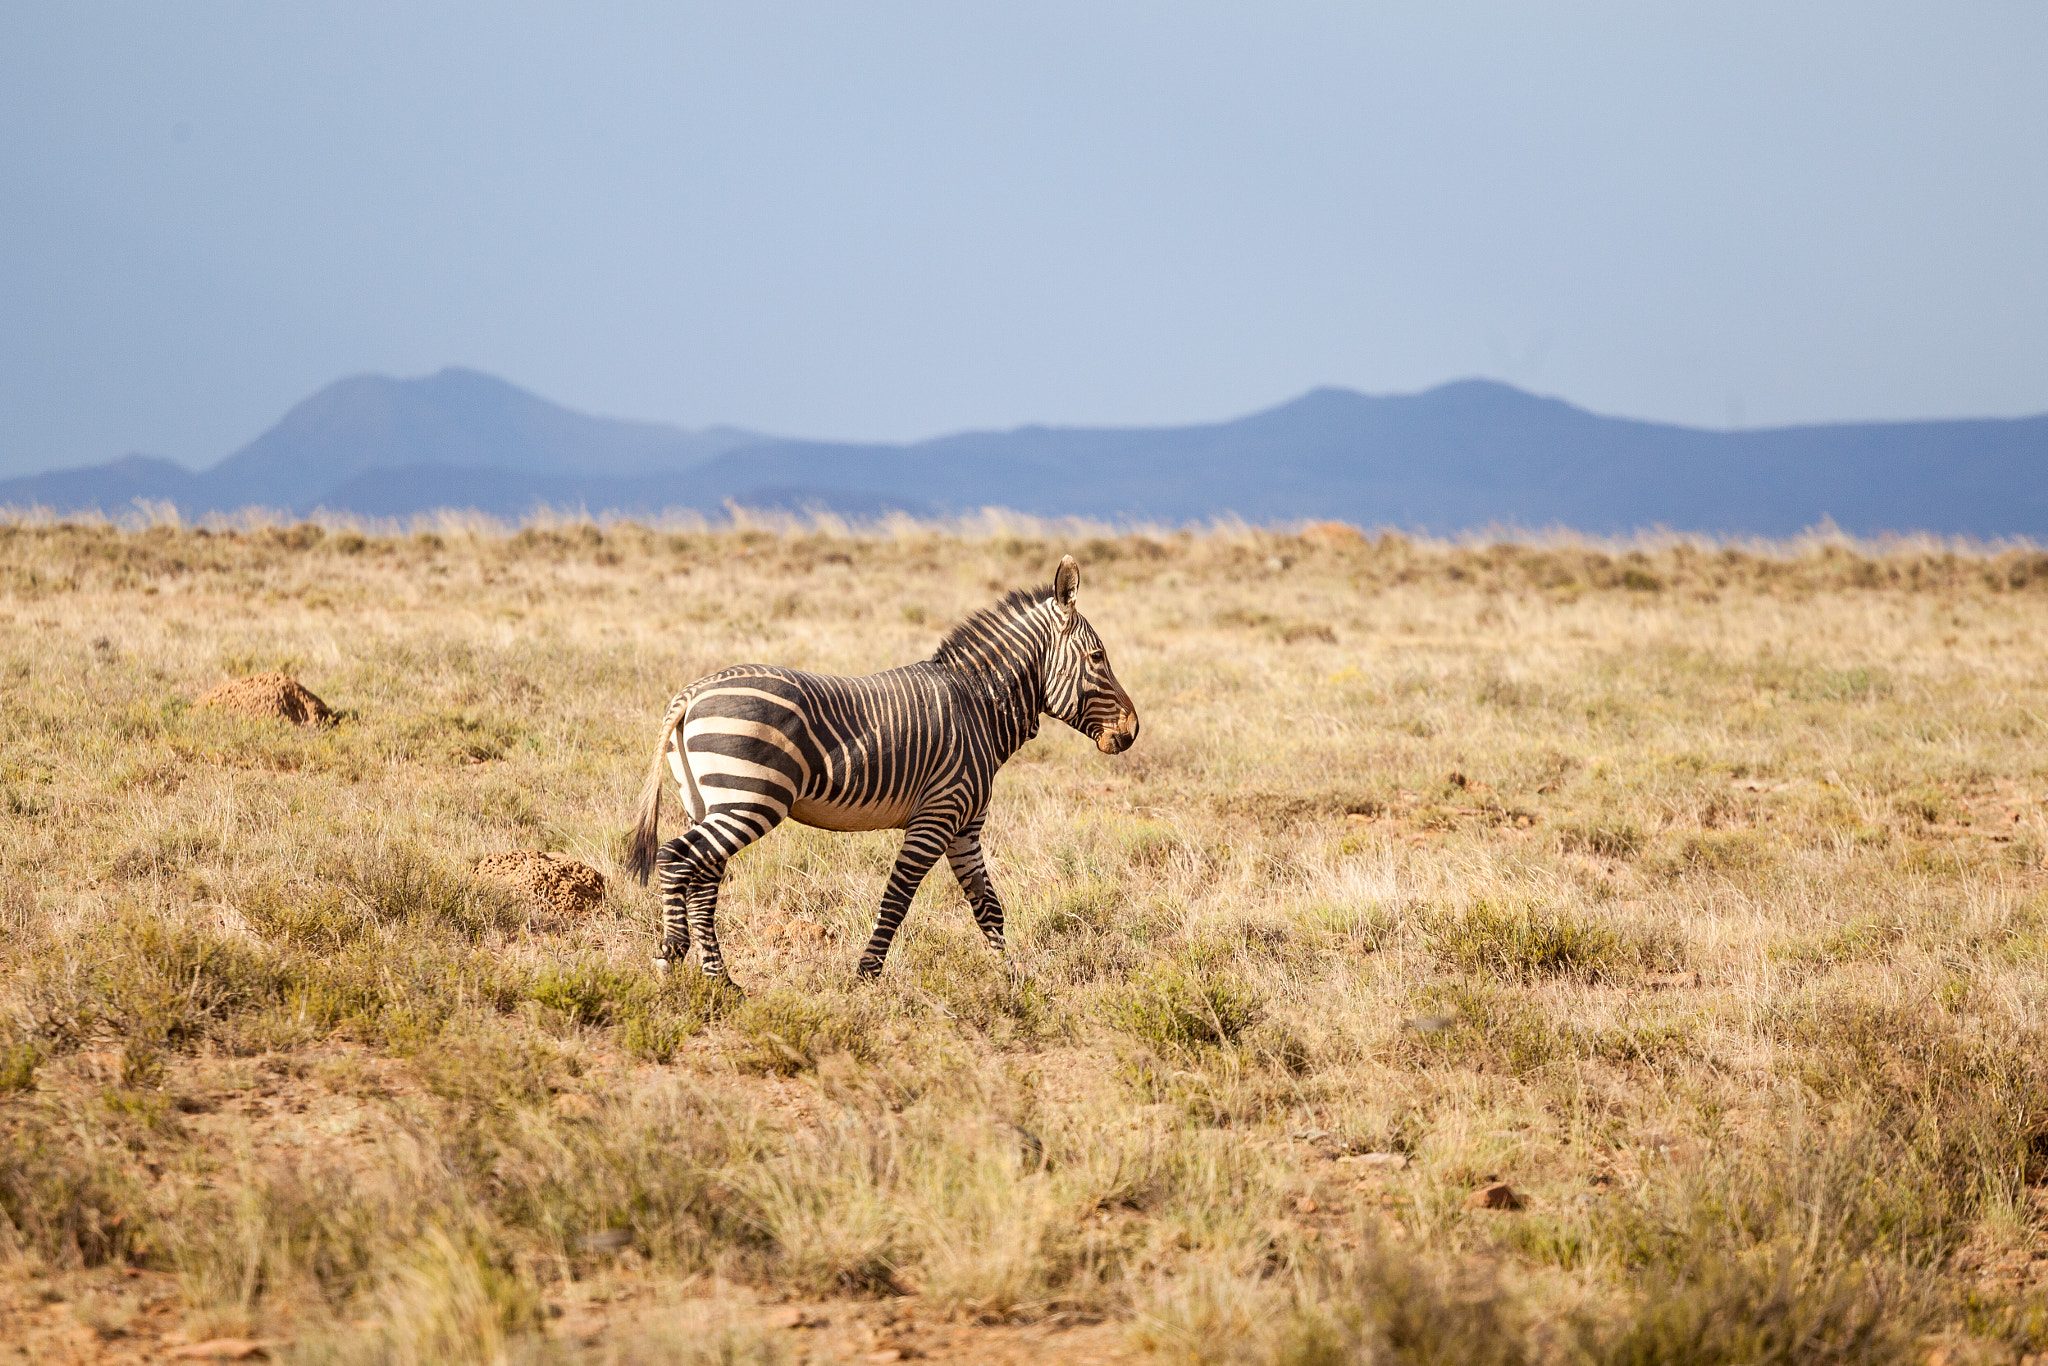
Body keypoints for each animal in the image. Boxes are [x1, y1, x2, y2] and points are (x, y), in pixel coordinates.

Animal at [618, 557, 1138, 983]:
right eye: (1098, 658)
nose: (1133, 730)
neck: (977, 705)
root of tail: (694, 691)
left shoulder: (966, 827)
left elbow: (988, 905)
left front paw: (1011, 979)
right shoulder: (937, 817)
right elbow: (898, 898)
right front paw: (866, 974)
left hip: (708, 800)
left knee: (702, 875)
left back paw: (721, 981)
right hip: (749, 798)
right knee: (676, 856)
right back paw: (671, 954)